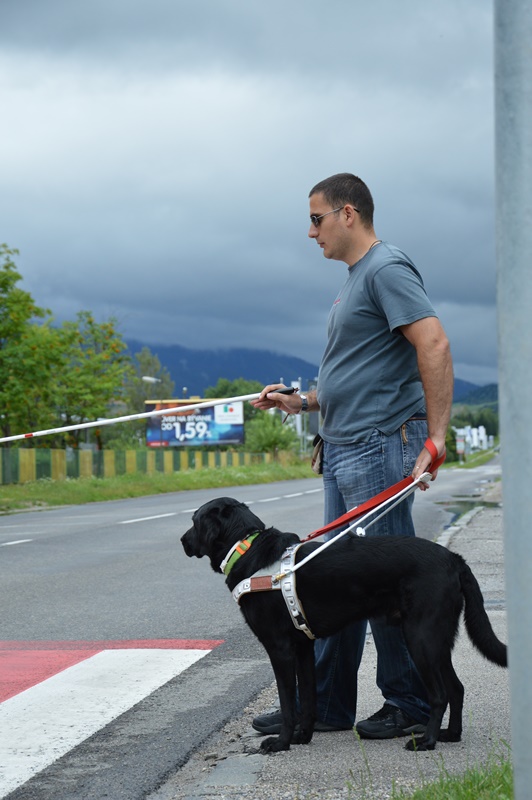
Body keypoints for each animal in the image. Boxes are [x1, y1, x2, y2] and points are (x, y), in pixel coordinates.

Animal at [182, 496, 508, 752]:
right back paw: (450, 735)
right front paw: (302, 737)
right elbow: (308, 700)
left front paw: (281, 743)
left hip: (420, 638)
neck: (247, 549)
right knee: (457, 689)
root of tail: (454, 558)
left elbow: (288, 704)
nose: (182, 541)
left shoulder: (280, 649)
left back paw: (427, 742)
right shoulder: (303, 648)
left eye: (195, 521)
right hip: (437, 641)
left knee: (440, 694)